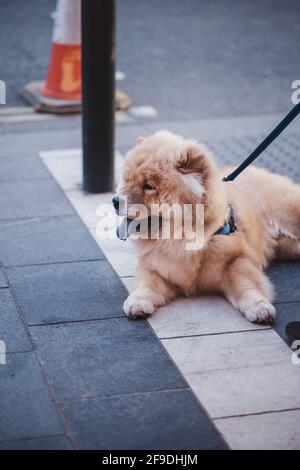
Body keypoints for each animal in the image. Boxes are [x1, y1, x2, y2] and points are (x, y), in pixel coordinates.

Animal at [113, 130, 300, 324]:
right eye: (126, 180)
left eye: (148, 186)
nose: (115, 201)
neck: (178, 241)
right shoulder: (155, 267)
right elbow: (146, 283)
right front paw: (137, 303)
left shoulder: (235, 261)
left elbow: (245, 283)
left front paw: (259, 307)